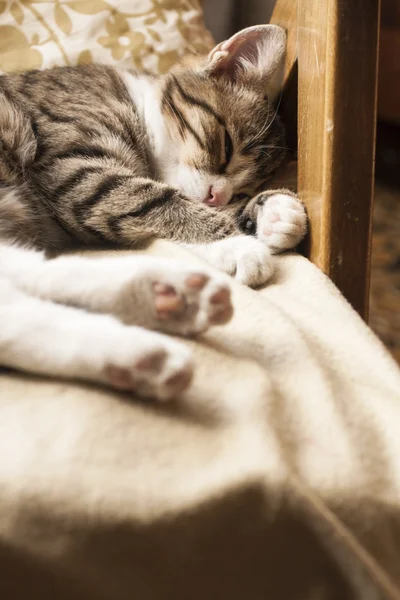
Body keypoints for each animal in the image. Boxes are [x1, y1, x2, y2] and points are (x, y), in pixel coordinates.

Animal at [0, 24, 306, 398]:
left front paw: (277, 213)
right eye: (226, 147)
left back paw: (160, 311)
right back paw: (140, 348)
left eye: (243, 191)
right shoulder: (73, 167)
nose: (218, 196)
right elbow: (153, 200)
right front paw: (236, 244)